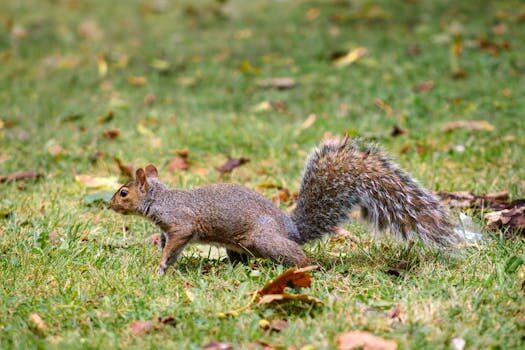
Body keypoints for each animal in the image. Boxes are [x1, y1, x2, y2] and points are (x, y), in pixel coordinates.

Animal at [108, 137, 456, 276]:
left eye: (123, 192)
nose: (109, 205)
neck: (161, 199)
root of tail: (291, 229)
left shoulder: (181, 225)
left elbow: (175, 244)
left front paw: (161, 267)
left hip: (263, 239)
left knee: (297, 255)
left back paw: (306, 267)